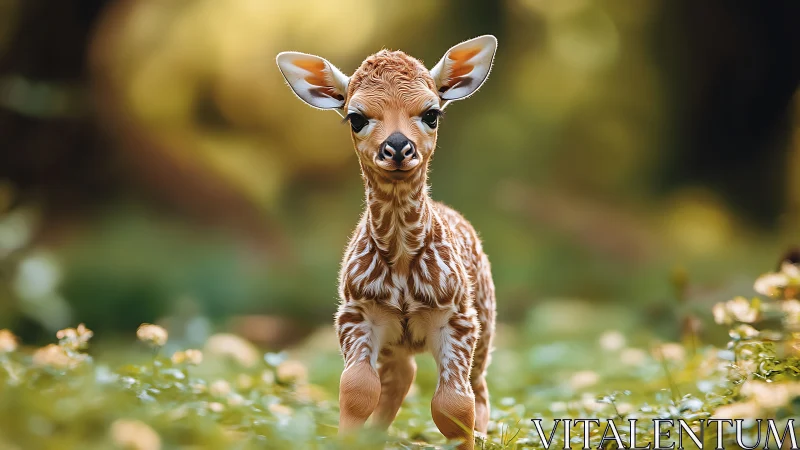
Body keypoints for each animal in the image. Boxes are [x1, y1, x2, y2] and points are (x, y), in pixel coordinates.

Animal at [276, 35, 497, 450]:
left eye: (431, 113)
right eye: (356, 117)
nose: (397, 146)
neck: (402, 262)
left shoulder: (457, 316)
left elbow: (453, 405)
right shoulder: (357, 311)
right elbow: (357, 389)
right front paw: (349, 439)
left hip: (486, 319)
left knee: (477, 387)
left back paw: (481, 433)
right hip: (397, 339)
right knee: (401, 376)